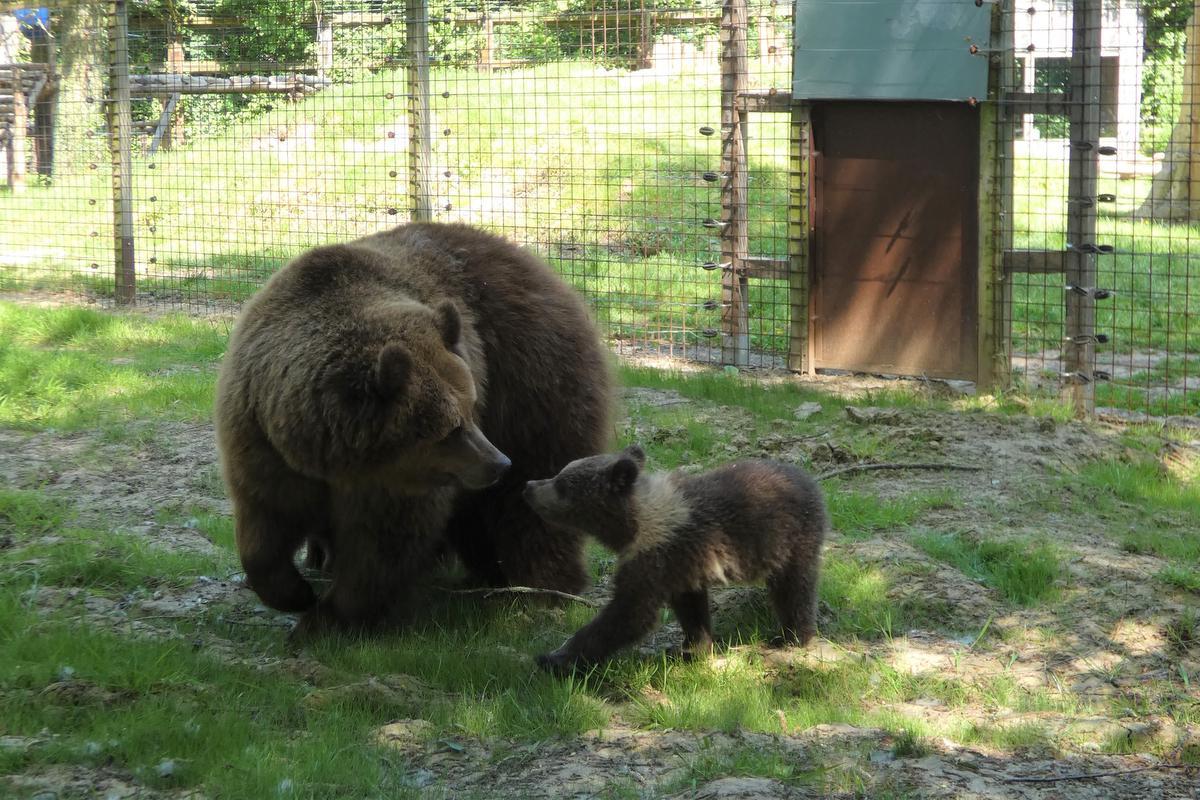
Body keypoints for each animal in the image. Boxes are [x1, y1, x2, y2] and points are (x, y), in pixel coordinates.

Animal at [211, 221, 614, 633]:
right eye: (450, 427)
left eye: (471, 408)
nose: (498, 463)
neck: (333, 457)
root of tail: (537, 266)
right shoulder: (262, 441)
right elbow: (265, 521)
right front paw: (294, 592)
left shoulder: (402, 482)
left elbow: (383, 544)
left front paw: (329, 617)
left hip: (529, 380)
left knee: (536, 490)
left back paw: (541, 586)